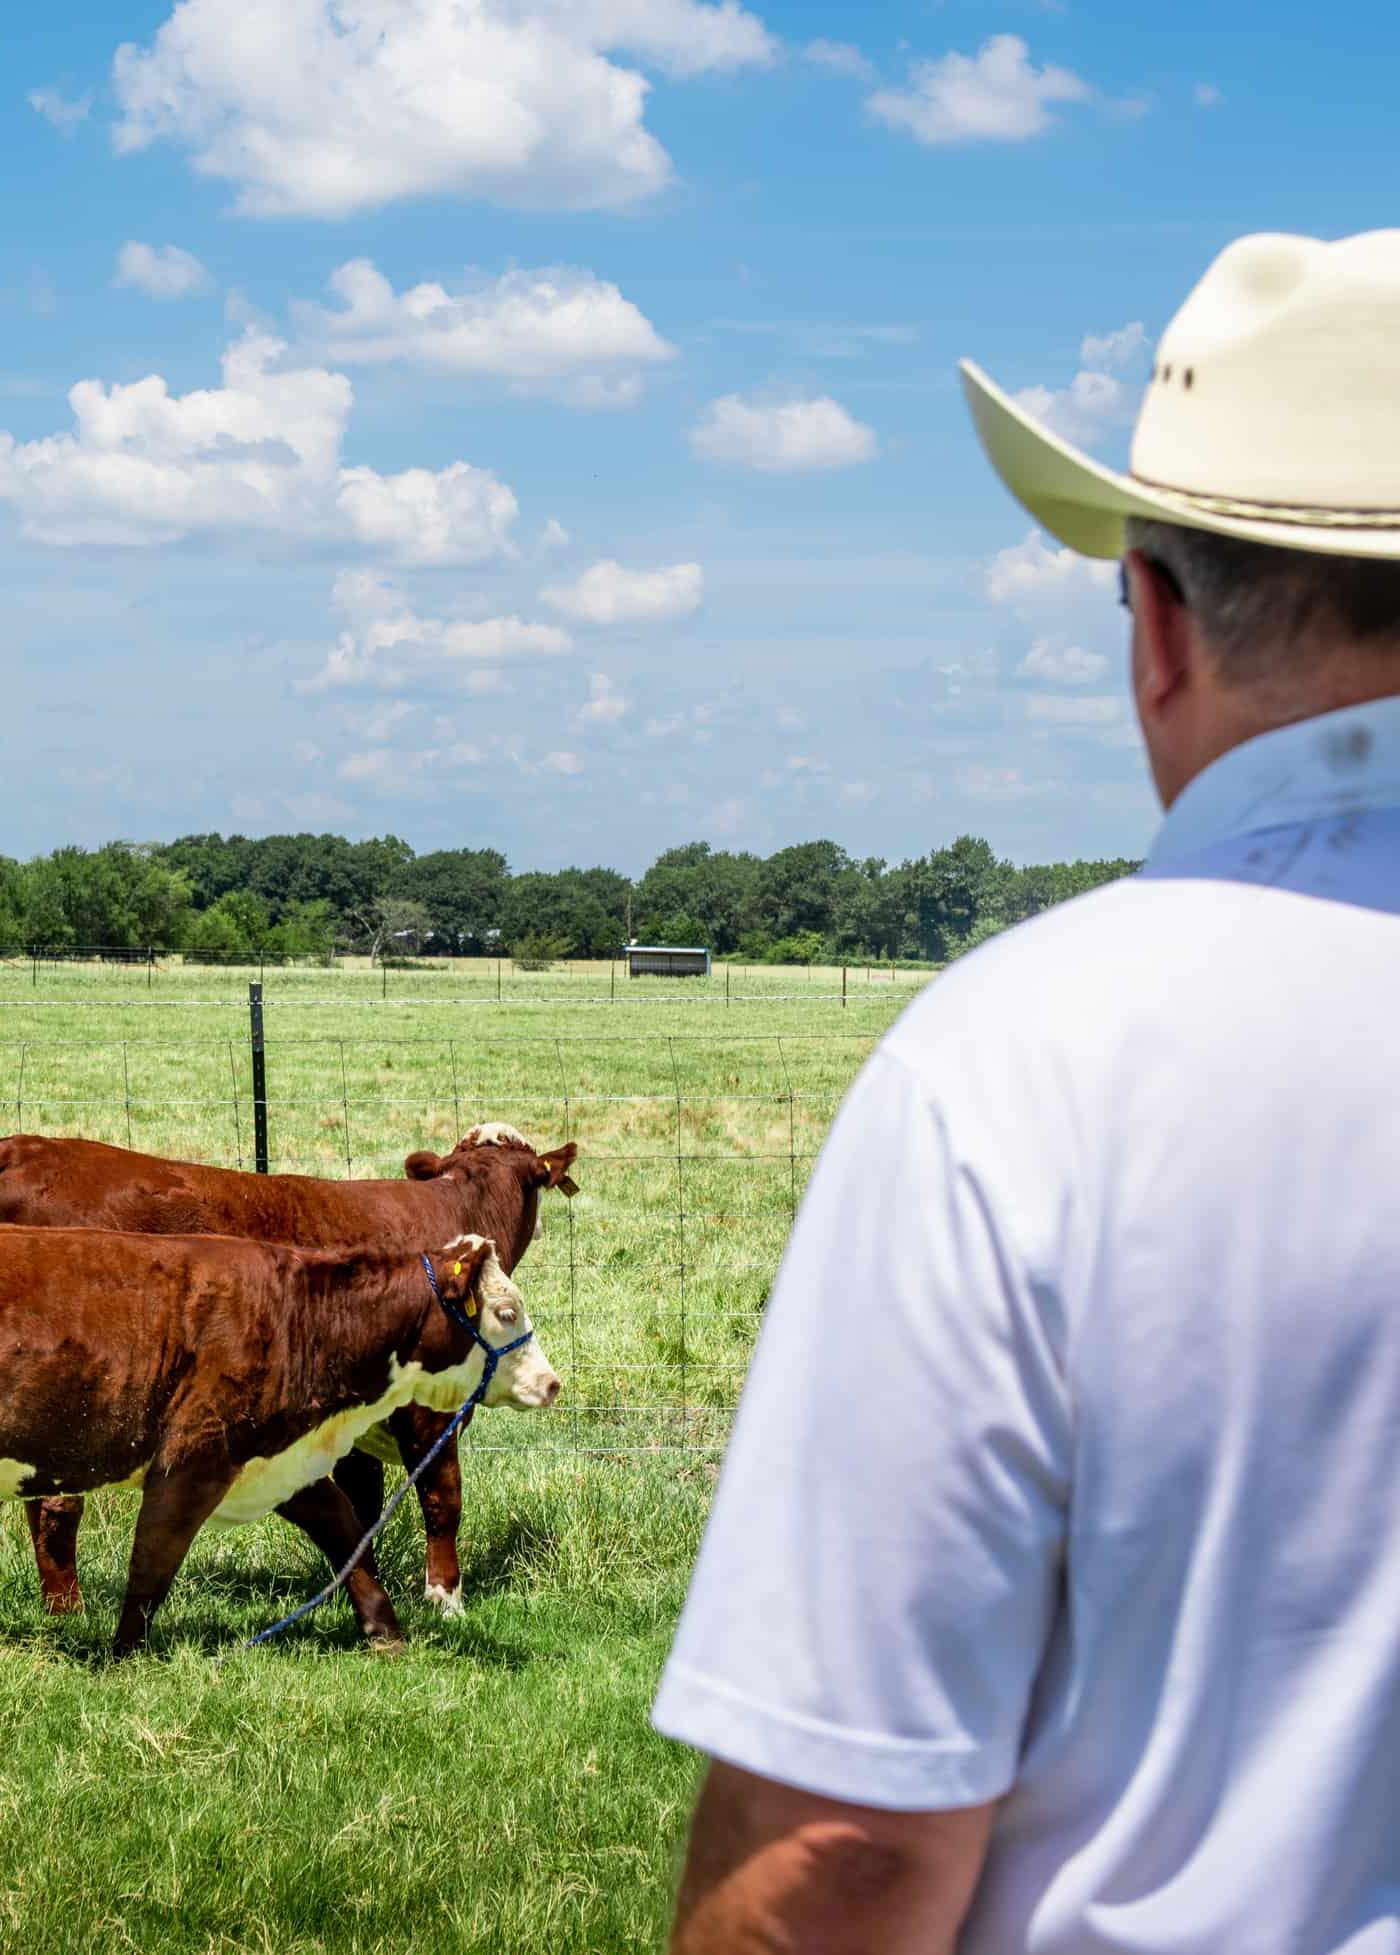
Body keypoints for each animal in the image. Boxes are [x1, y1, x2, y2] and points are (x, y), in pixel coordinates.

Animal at [0, 1133, 578, 1618]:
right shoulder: (427, 1415)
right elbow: (442, 1499)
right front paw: (446, 1599)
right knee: (55, 1505)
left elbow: (360, 1508)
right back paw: (68, 1610)